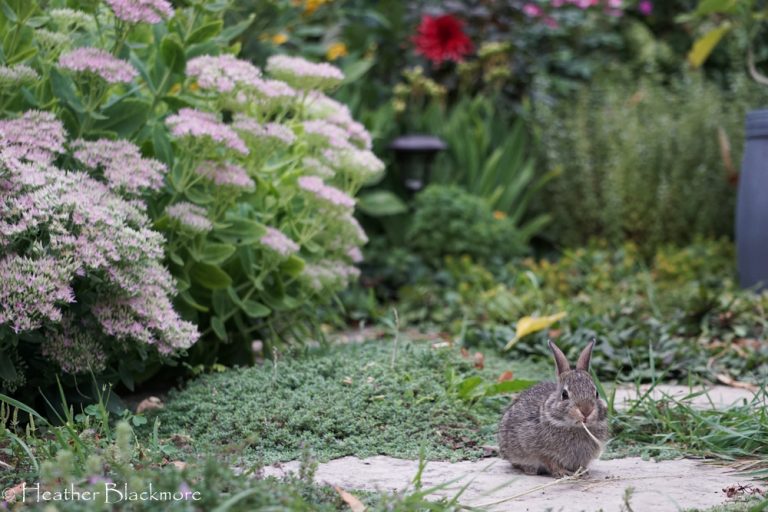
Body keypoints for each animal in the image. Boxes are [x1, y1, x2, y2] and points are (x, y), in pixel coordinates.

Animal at [497, 339, 609, 478]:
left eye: (596, 393)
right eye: (564, 394)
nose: (586, 411)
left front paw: (583, 472)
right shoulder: (542, 452)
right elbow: (551, 462)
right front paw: (562, 473)